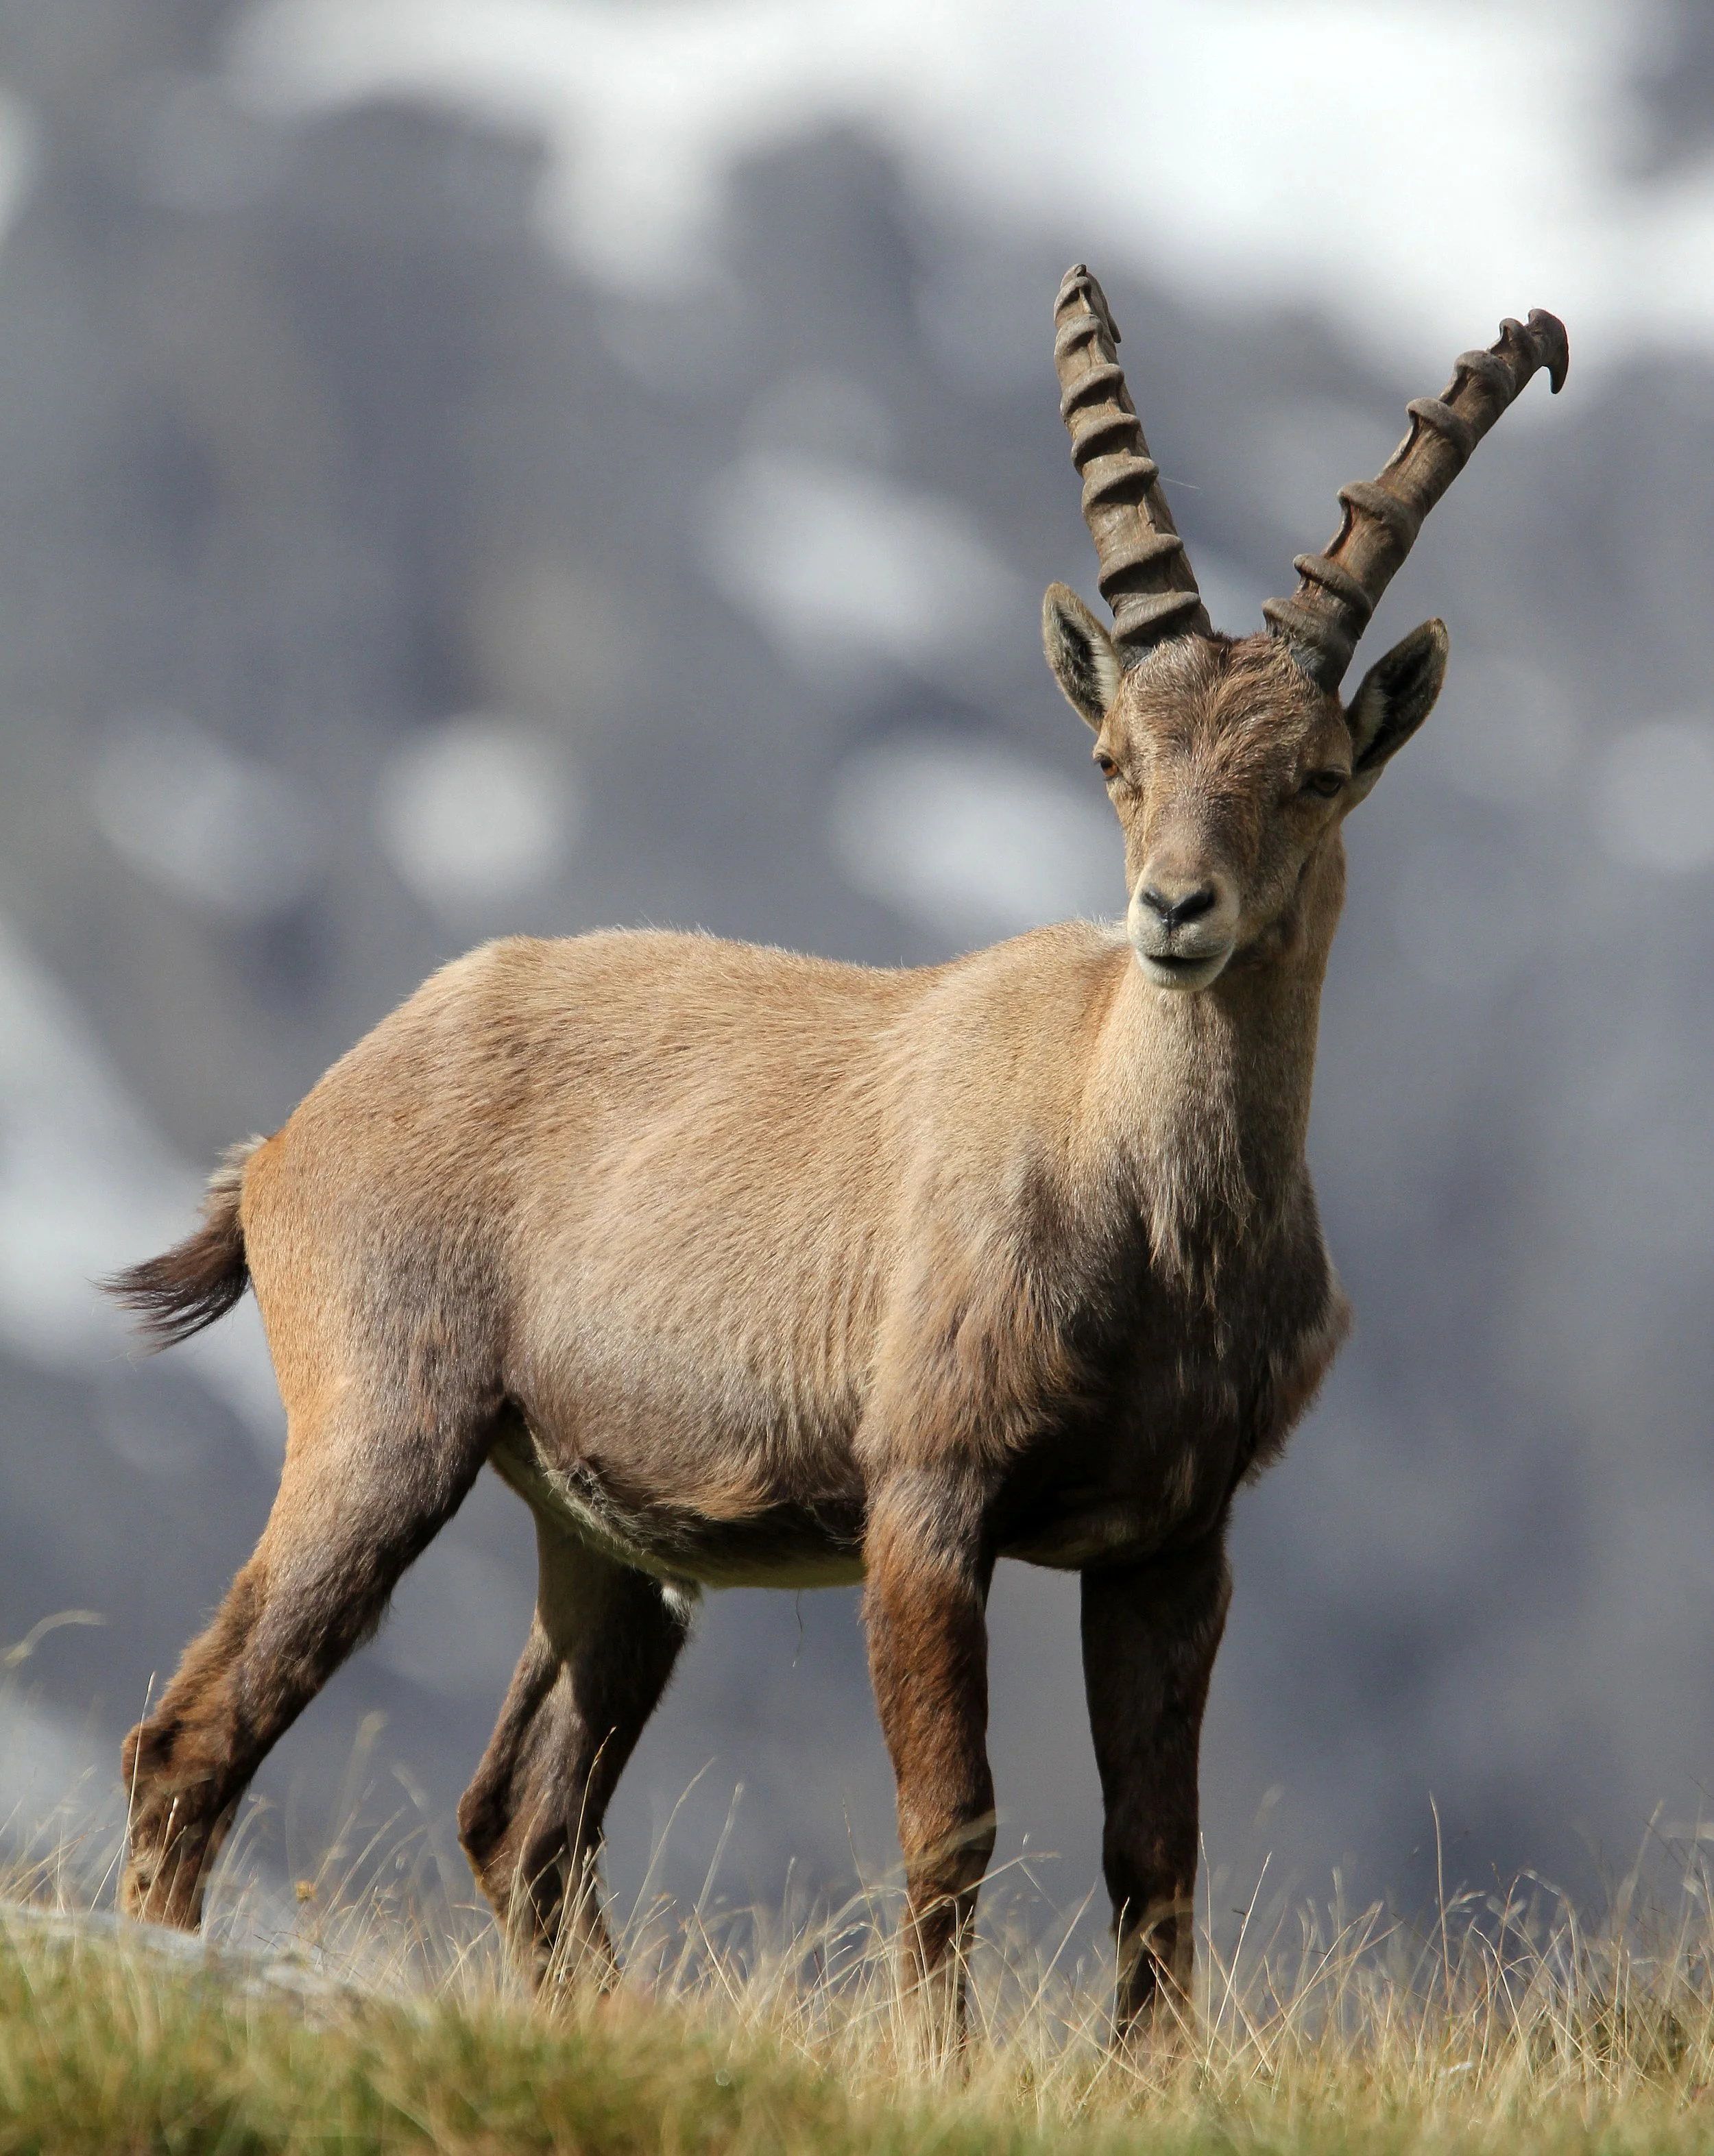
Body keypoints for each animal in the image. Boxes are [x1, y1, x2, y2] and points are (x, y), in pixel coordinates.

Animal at [108, 267, 1566, 2044]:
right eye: (1116, 763)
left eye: (1315, 774)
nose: (1174, 912)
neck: (1142, 1203)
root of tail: (296, 1136)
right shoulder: (926, 1498)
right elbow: (952, 1820)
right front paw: (937, 2063)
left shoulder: (1174, 1539)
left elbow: (1155, 1852)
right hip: (384, 1424)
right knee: (196, 1739)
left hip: (603, 1540)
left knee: (522, 1815)